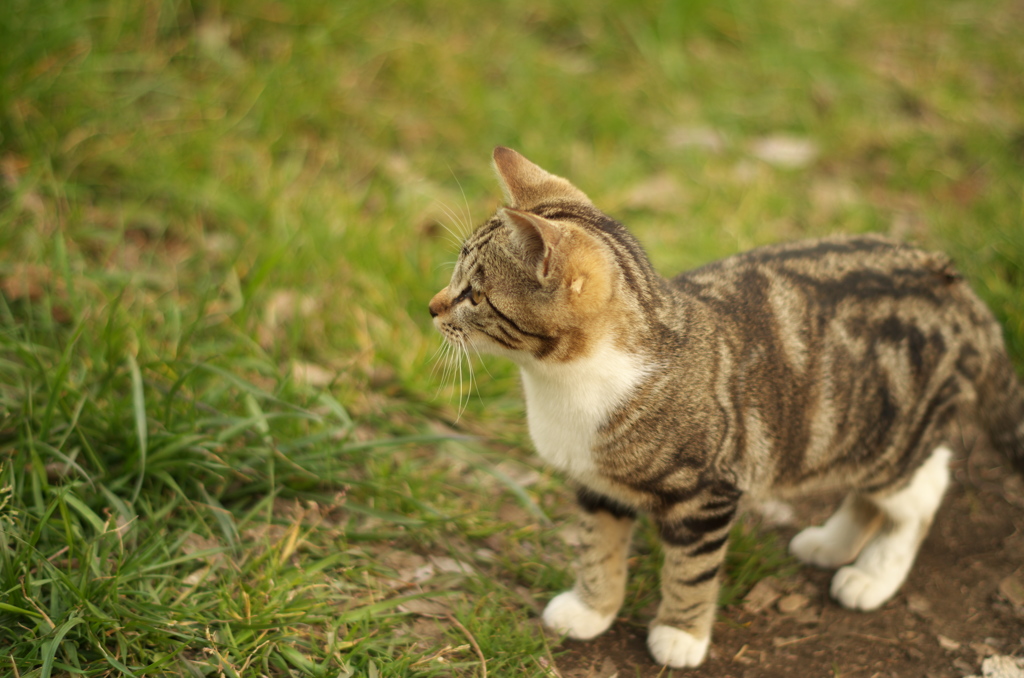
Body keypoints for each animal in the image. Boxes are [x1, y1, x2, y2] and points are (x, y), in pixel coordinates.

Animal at [425, 148, 1024, 667]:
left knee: (923, 488)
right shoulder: (598, 485)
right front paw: (592, 608)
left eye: (474, 294)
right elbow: (598, 547)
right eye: (454, 279)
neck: (561, 380)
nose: (430, 307)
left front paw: (680, 633)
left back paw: (873, 575)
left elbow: (691, 571)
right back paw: (832, 544)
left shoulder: (707, 491)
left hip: (895, 439)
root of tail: (955, 285)